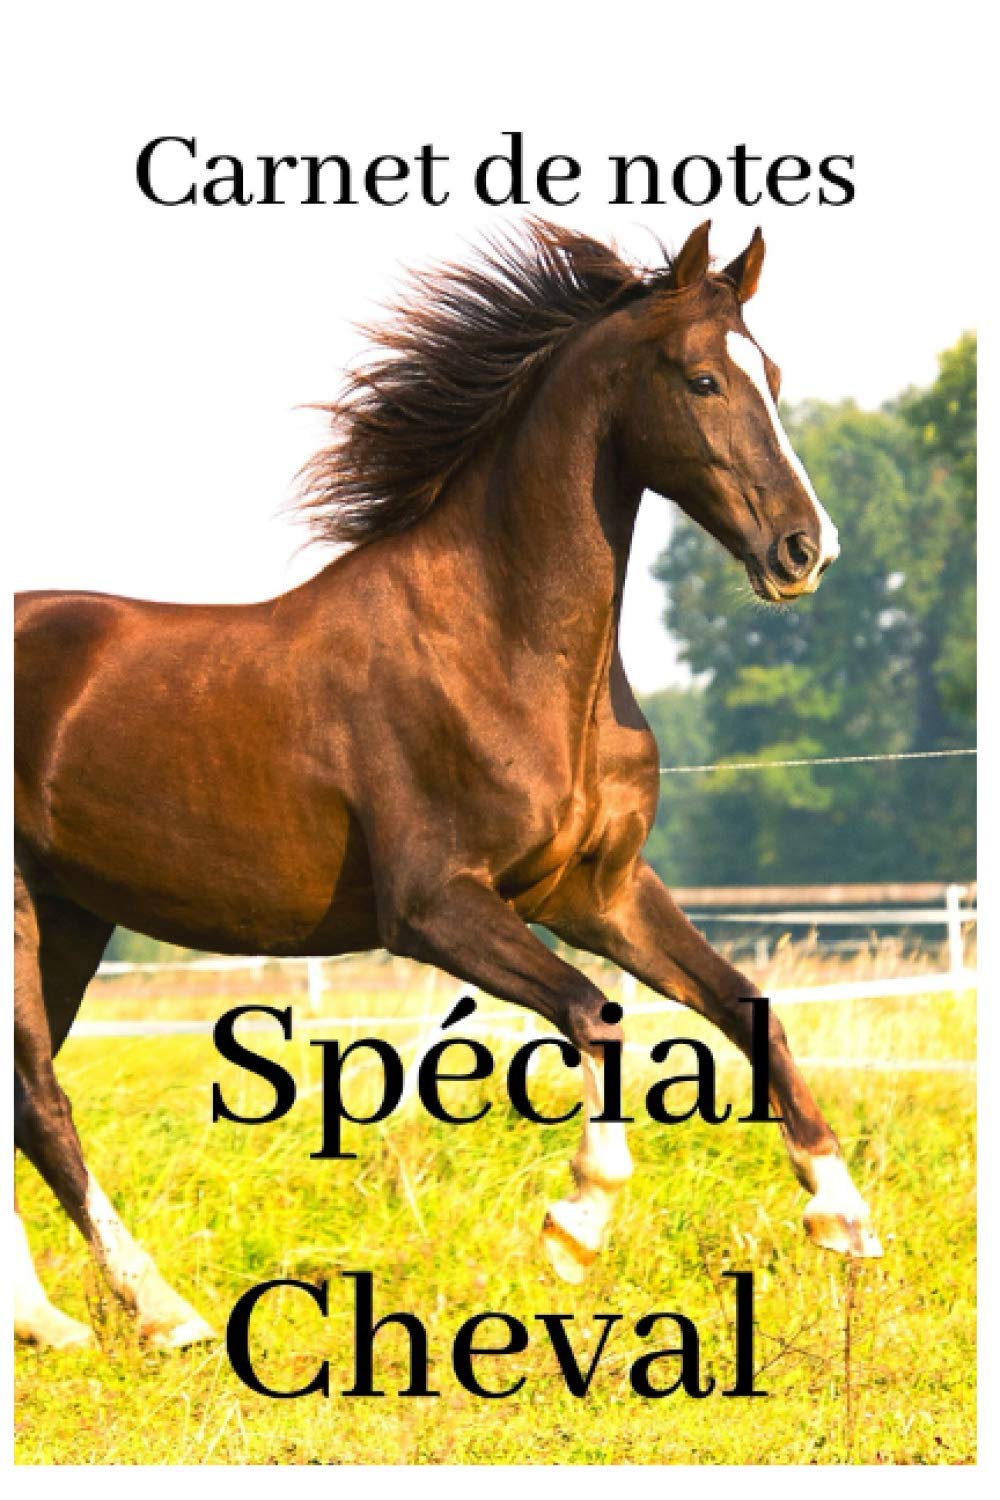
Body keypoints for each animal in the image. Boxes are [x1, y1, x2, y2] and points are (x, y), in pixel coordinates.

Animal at [14, 219, 881, 1352]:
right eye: (701, 378)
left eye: (770, 375)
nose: (804, 551)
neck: (500, 646)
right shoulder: (434, 907)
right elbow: (595, 1013)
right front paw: (575, 1223)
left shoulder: (599, 893)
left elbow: (747, 1008)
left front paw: (843, 1214)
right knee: (42, 1101)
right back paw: (161, 1312)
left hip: (71, 919)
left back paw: (48, 1321)